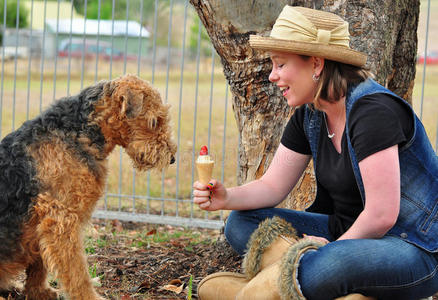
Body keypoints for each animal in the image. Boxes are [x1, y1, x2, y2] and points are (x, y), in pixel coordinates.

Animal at [0, 74, 178, 298]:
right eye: (155, 120)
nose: (172, 158)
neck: (79, 131)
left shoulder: (46, 220)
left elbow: (39, 267)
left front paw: (40, 292)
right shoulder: (61, 219)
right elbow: (77, 274)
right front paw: (90, 296)